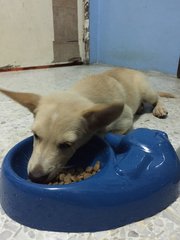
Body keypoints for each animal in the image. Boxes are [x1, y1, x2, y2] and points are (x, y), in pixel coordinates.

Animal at [0, 68, 174, 184]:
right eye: (35, 135)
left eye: (66, 145)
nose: (35, 177)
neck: (84, 93)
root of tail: (132, 69)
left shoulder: (125, 119)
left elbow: (104, 133)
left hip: (147, 91)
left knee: (157, 97)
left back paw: (159, 108)